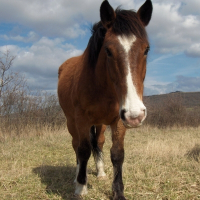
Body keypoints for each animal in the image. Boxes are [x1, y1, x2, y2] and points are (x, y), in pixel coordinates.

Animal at [57, 0, 153, 199]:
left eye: (146, 49)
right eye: (108, 51)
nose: (135, 115)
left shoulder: (119, 120)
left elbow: (117, 154)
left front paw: (118, 191)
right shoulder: (81, 120)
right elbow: (83, 150)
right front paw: (81, 187)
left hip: (100, 123)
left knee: (98, 142)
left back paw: (100, 172)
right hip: (71, 122)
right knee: (76, 145)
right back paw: (78, 177)